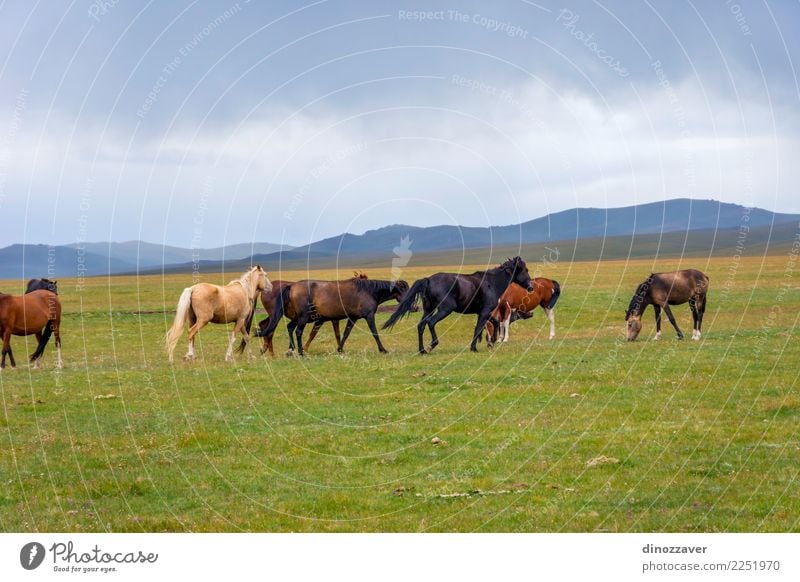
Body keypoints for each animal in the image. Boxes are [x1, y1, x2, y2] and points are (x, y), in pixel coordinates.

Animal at [256, 278, 410, 356]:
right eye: (405, 290)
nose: (413, 307)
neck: (368, 291)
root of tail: (292, 286)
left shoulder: (352, 318)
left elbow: (345, 334)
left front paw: (340, 349)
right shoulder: (369, 316)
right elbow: (375, 333)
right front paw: (383, 349)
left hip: (297, 318)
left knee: (288, 328)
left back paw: (290, 350)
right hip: (302, 318)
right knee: (297, 331)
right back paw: (299, 352)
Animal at [384, 258, 536, 354]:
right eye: (525, 270)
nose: (531, 287)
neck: (492, 283)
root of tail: (428, 280)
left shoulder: (483, 312)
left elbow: (494, 323)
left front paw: (491, 341)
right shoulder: (485, 311)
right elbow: (479, 328)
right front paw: (475, 348)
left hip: (429, 309)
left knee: (421, 325)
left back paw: (422, 350)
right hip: (445, 309)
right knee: (431, 323)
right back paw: (432, 345)